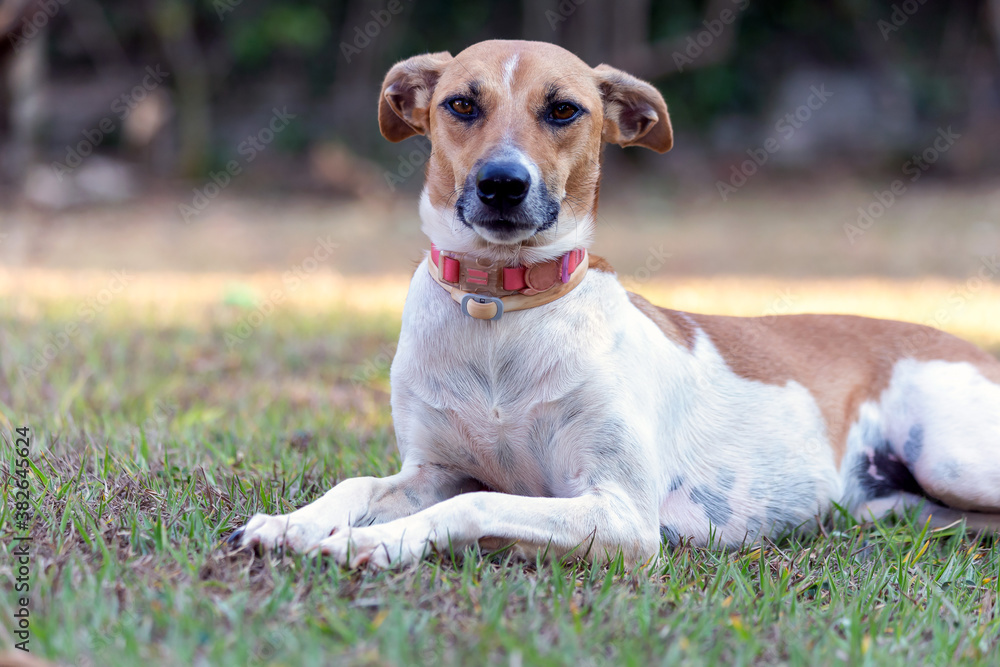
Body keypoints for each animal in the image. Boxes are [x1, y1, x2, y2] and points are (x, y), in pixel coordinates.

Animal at [229, 40, 1000, 568]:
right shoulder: (432, 467)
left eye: (563, 110)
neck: (500, 314)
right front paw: (294, 522)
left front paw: (380, 542)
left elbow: (476, 502)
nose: (502, 184)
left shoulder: (622, 513)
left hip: (955, 456)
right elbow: (361, 481)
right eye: (461, 104)